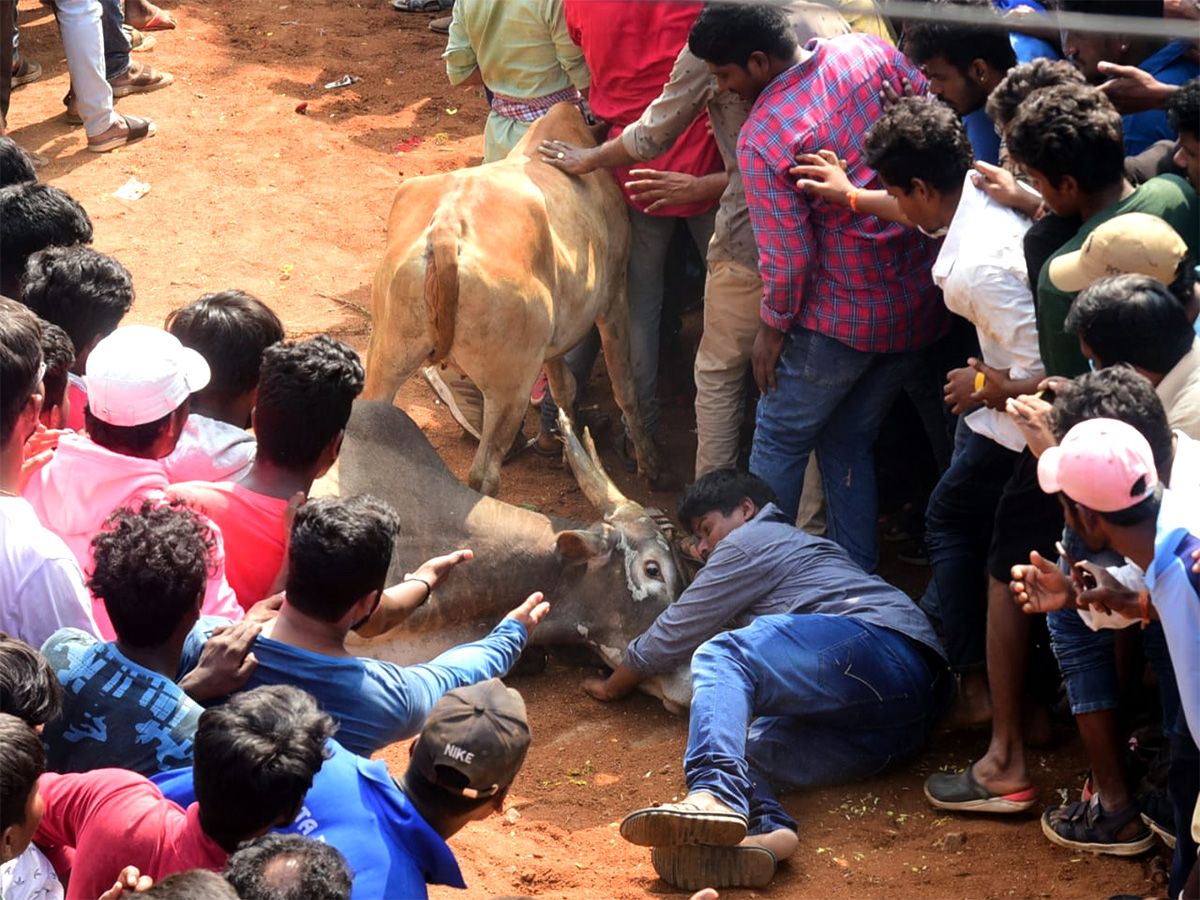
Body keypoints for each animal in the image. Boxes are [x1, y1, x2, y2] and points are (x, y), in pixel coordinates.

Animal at [367, 107, 667, 501]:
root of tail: (447, 227)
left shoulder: (554, 338)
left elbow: (564, 386)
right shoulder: (614, 297)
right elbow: (624, 385)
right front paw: (648, 464)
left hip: (387, 354)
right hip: (509, 384)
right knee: (483, 475)